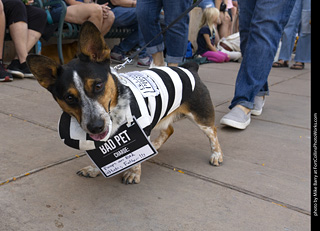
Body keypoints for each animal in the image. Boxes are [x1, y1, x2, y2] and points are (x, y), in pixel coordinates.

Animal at [26, 21, 222, 184]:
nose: (96, 127)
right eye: (69, 98)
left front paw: (134, 172)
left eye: (98, 85)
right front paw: (94, 169)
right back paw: (156, 145)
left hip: (201, 117)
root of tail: (189, 68)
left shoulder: (140, 127)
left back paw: (216, 155)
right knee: (169, 130)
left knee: (212, 132)